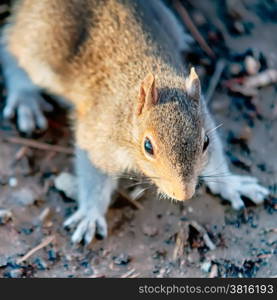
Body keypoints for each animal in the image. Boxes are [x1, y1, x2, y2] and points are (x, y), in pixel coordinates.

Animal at [0, 0, 268, 244]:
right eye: (148, 146)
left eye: (205, 142)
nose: (184, 194)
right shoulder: (97, 138)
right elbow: (94, 177)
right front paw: (90, 215)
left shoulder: (206, 117)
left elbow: (216, 159)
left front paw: (232, 184)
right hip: (43, 44)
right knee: (12, 48)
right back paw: (25, 98)